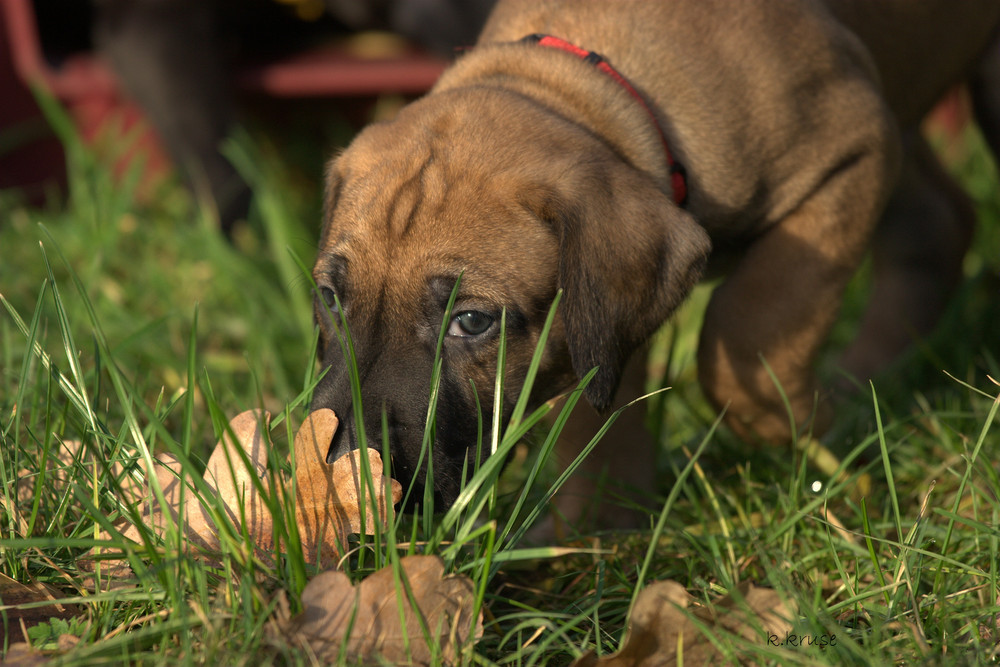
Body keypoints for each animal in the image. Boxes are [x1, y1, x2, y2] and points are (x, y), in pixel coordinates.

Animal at [310, 1, 1000, 528]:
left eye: (472, 322)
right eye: (331, 299)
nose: (338, 469)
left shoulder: (856, 150)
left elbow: (749, 323)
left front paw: (796, 418)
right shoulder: (593, 324)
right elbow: (596, 421)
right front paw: (600, 540)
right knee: (936, 227)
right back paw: (870, 391)